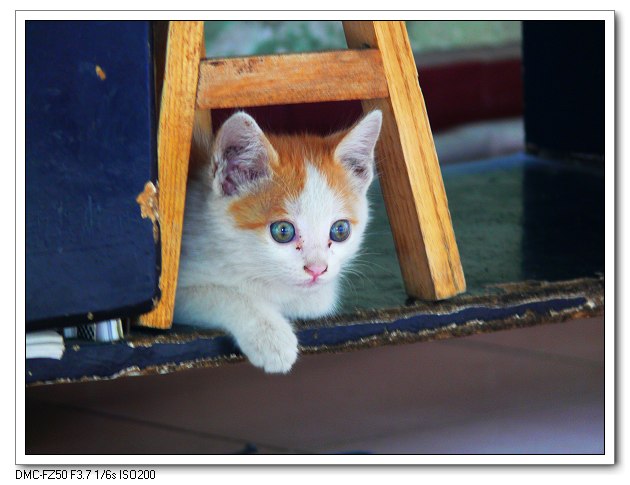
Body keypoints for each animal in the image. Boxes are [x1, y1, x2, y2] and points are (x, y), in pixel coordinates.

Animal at [174, 109, 386, 372]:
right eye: (283, 231)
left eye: (340, 230)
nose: (317, 269)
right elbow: (225, 293)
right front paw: (271, 335)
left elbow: (318, 300)